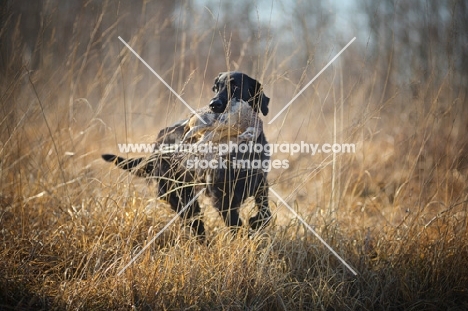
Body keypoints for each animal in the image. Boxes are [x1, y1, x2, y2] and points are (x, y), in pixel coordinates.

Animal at [101, 72, 272, 238]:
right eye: (215, 88)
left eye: (235, 86)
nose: (213, 104)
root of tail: (156, 146)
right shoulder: (220, 197)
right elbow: (236, 225)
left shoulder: (261, 185)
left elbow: (266, 215)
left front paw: (254, 222)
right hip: (180, 198)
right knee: (197, 227)